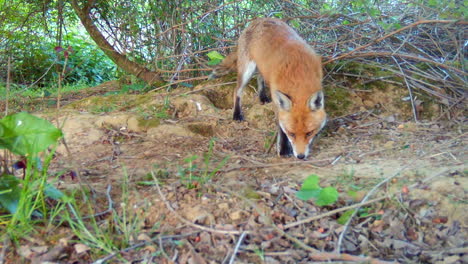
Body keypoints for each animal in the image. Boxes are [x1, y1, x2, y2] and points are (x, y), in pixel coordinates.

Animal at [211, 18, 326, 160]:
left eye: (309, 133)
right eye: (291, 133)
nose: (300, 156)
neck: (298, 74)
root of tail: (259, 19)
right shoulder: (277, 100)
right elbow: (280, 127)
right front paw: (283, 149)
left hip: (260, 67)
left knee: (260, 78)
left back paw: (262, 97)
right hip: (247, 70)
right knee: (237, 91)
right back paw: (237, 114)